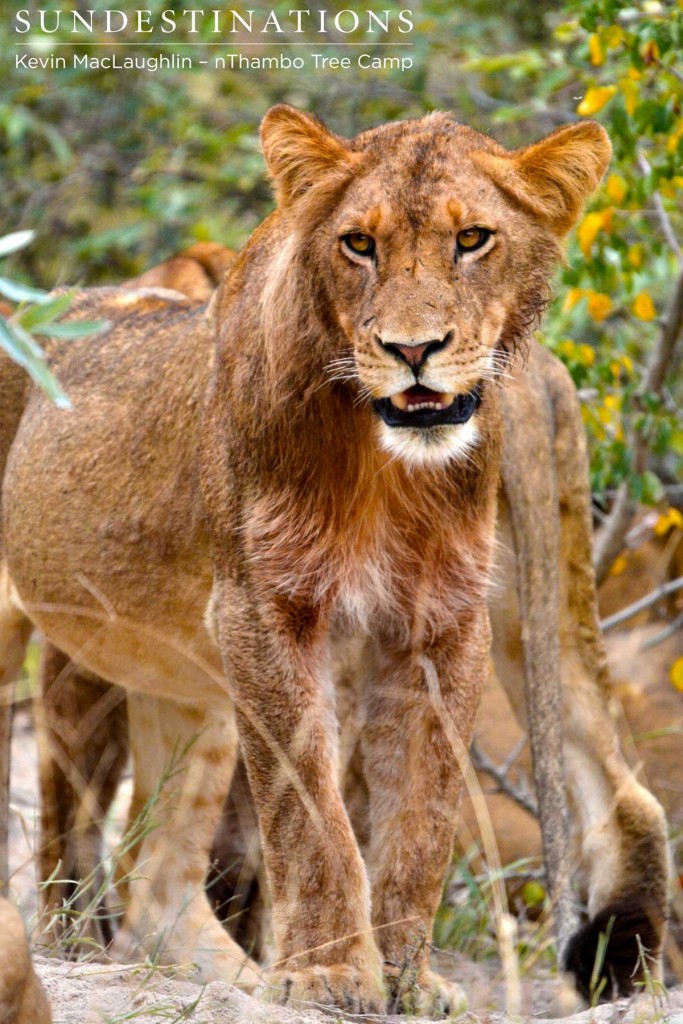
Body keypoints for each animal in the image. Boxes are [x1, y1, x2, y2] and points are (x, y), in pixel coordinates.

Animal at [0, 105, 667, 1015]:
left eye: (472, 239)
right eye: (358, 244)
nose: (414, 349)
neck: (379, 461)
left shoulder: (443, 621)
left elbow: (419, 814)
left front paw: (405, 980)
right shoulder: (262, 608)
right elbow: (310, 808)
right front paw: (328, 974)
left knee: (161, 876)